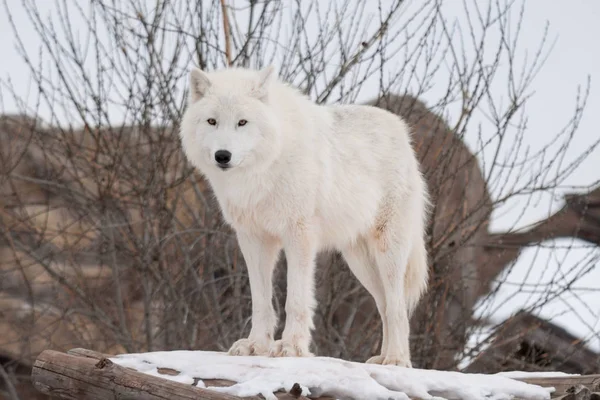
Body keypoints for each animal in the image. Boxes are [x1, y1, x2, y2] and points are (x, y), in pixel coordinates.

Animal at [180, 66, 428, 368]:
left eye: (242, 122)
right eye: (212, 121)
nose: (222, 156)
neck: (266, 167)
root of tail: (401, 129)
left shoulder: (299, 236)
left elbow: (295, 300)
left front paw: (291, 346)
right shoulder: (253, 239)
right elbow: (260, 301)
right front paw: (255, 345)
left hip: (388, 251)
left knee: (397, 307)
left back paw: (396, 360)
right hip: (359, 261)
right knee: (384, 306)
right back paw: (382, 357)